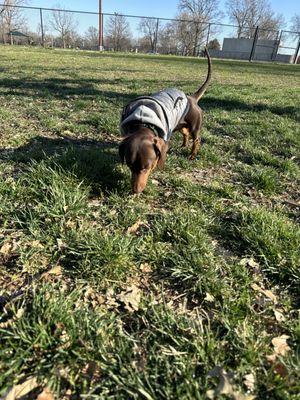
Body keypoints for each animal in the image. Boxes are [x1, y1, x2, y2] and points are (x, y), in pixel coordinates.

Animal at [118, 47, 212, 194]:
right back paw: (183, 145)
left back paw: (192, 155)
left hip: (195, 127)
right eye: (130, 166)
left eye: (147, 167)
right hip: (180, 125)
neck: (143, 122)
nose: (135, 191)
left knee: (196, 140)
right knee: (185, 134)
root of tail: (192, 98)